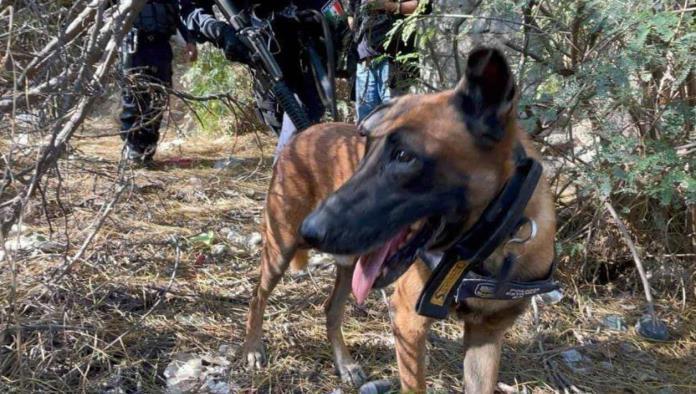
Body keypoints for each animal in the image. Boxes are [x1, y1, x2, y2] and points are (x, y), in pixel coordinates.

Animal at [242, 47, 556, 392]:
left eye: (404, 156)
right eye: (366, 150)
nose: (309, 230)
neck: (485, 251)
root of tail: (302, 133)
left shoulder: (485, 336)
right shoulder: (408, 322)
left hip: (349, 264)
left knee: (331, 310)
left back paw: (344, 364)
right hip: (280, 246)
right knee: (257, 296)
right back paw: (253, 348)